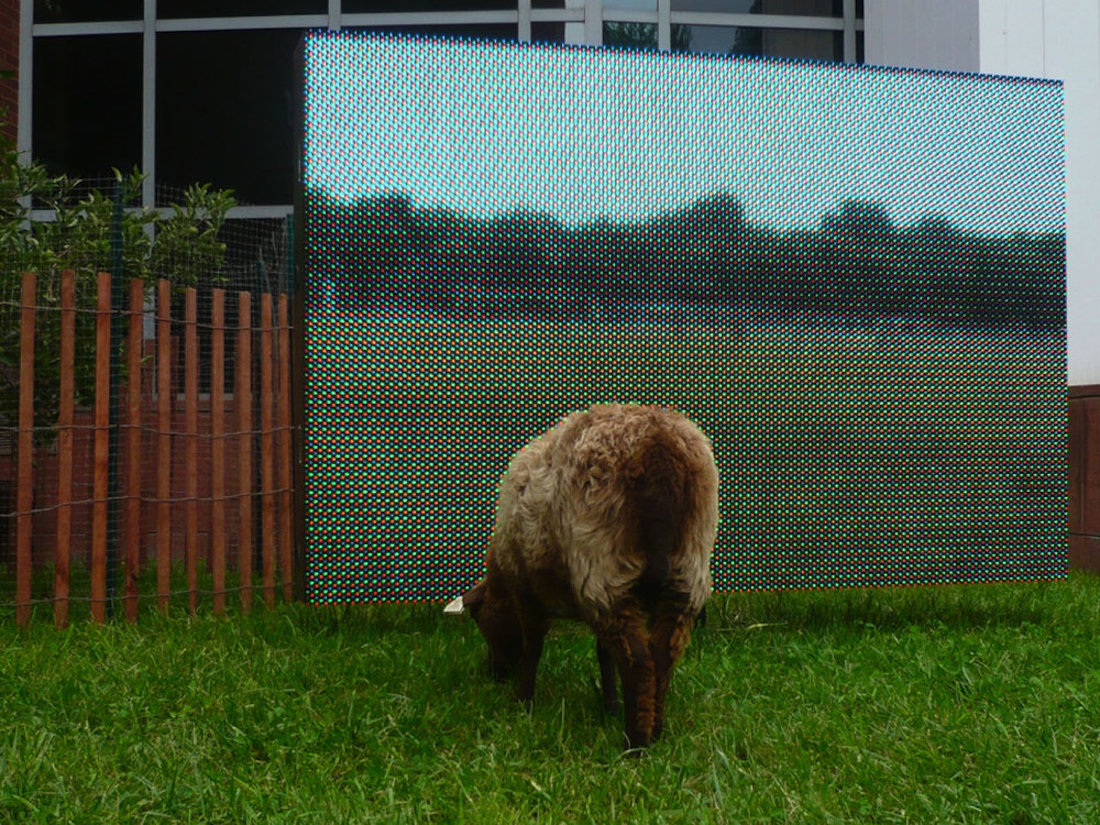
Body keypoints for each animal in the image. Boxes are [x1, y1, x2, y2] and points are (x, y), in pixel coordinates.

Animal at [451, 404, 717, 752]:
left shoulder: (527, 588)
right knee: (662, 655)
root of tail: (659, 448)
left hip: (605, 566)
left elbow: (533, 644)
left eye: (480, 621)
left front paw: (522, 701)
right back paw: (655, 731)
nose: (497, 674)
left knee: (637, 661)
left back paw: (635, 743)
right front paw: (609, 706)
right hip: (685, 571)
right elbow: (604, 654)